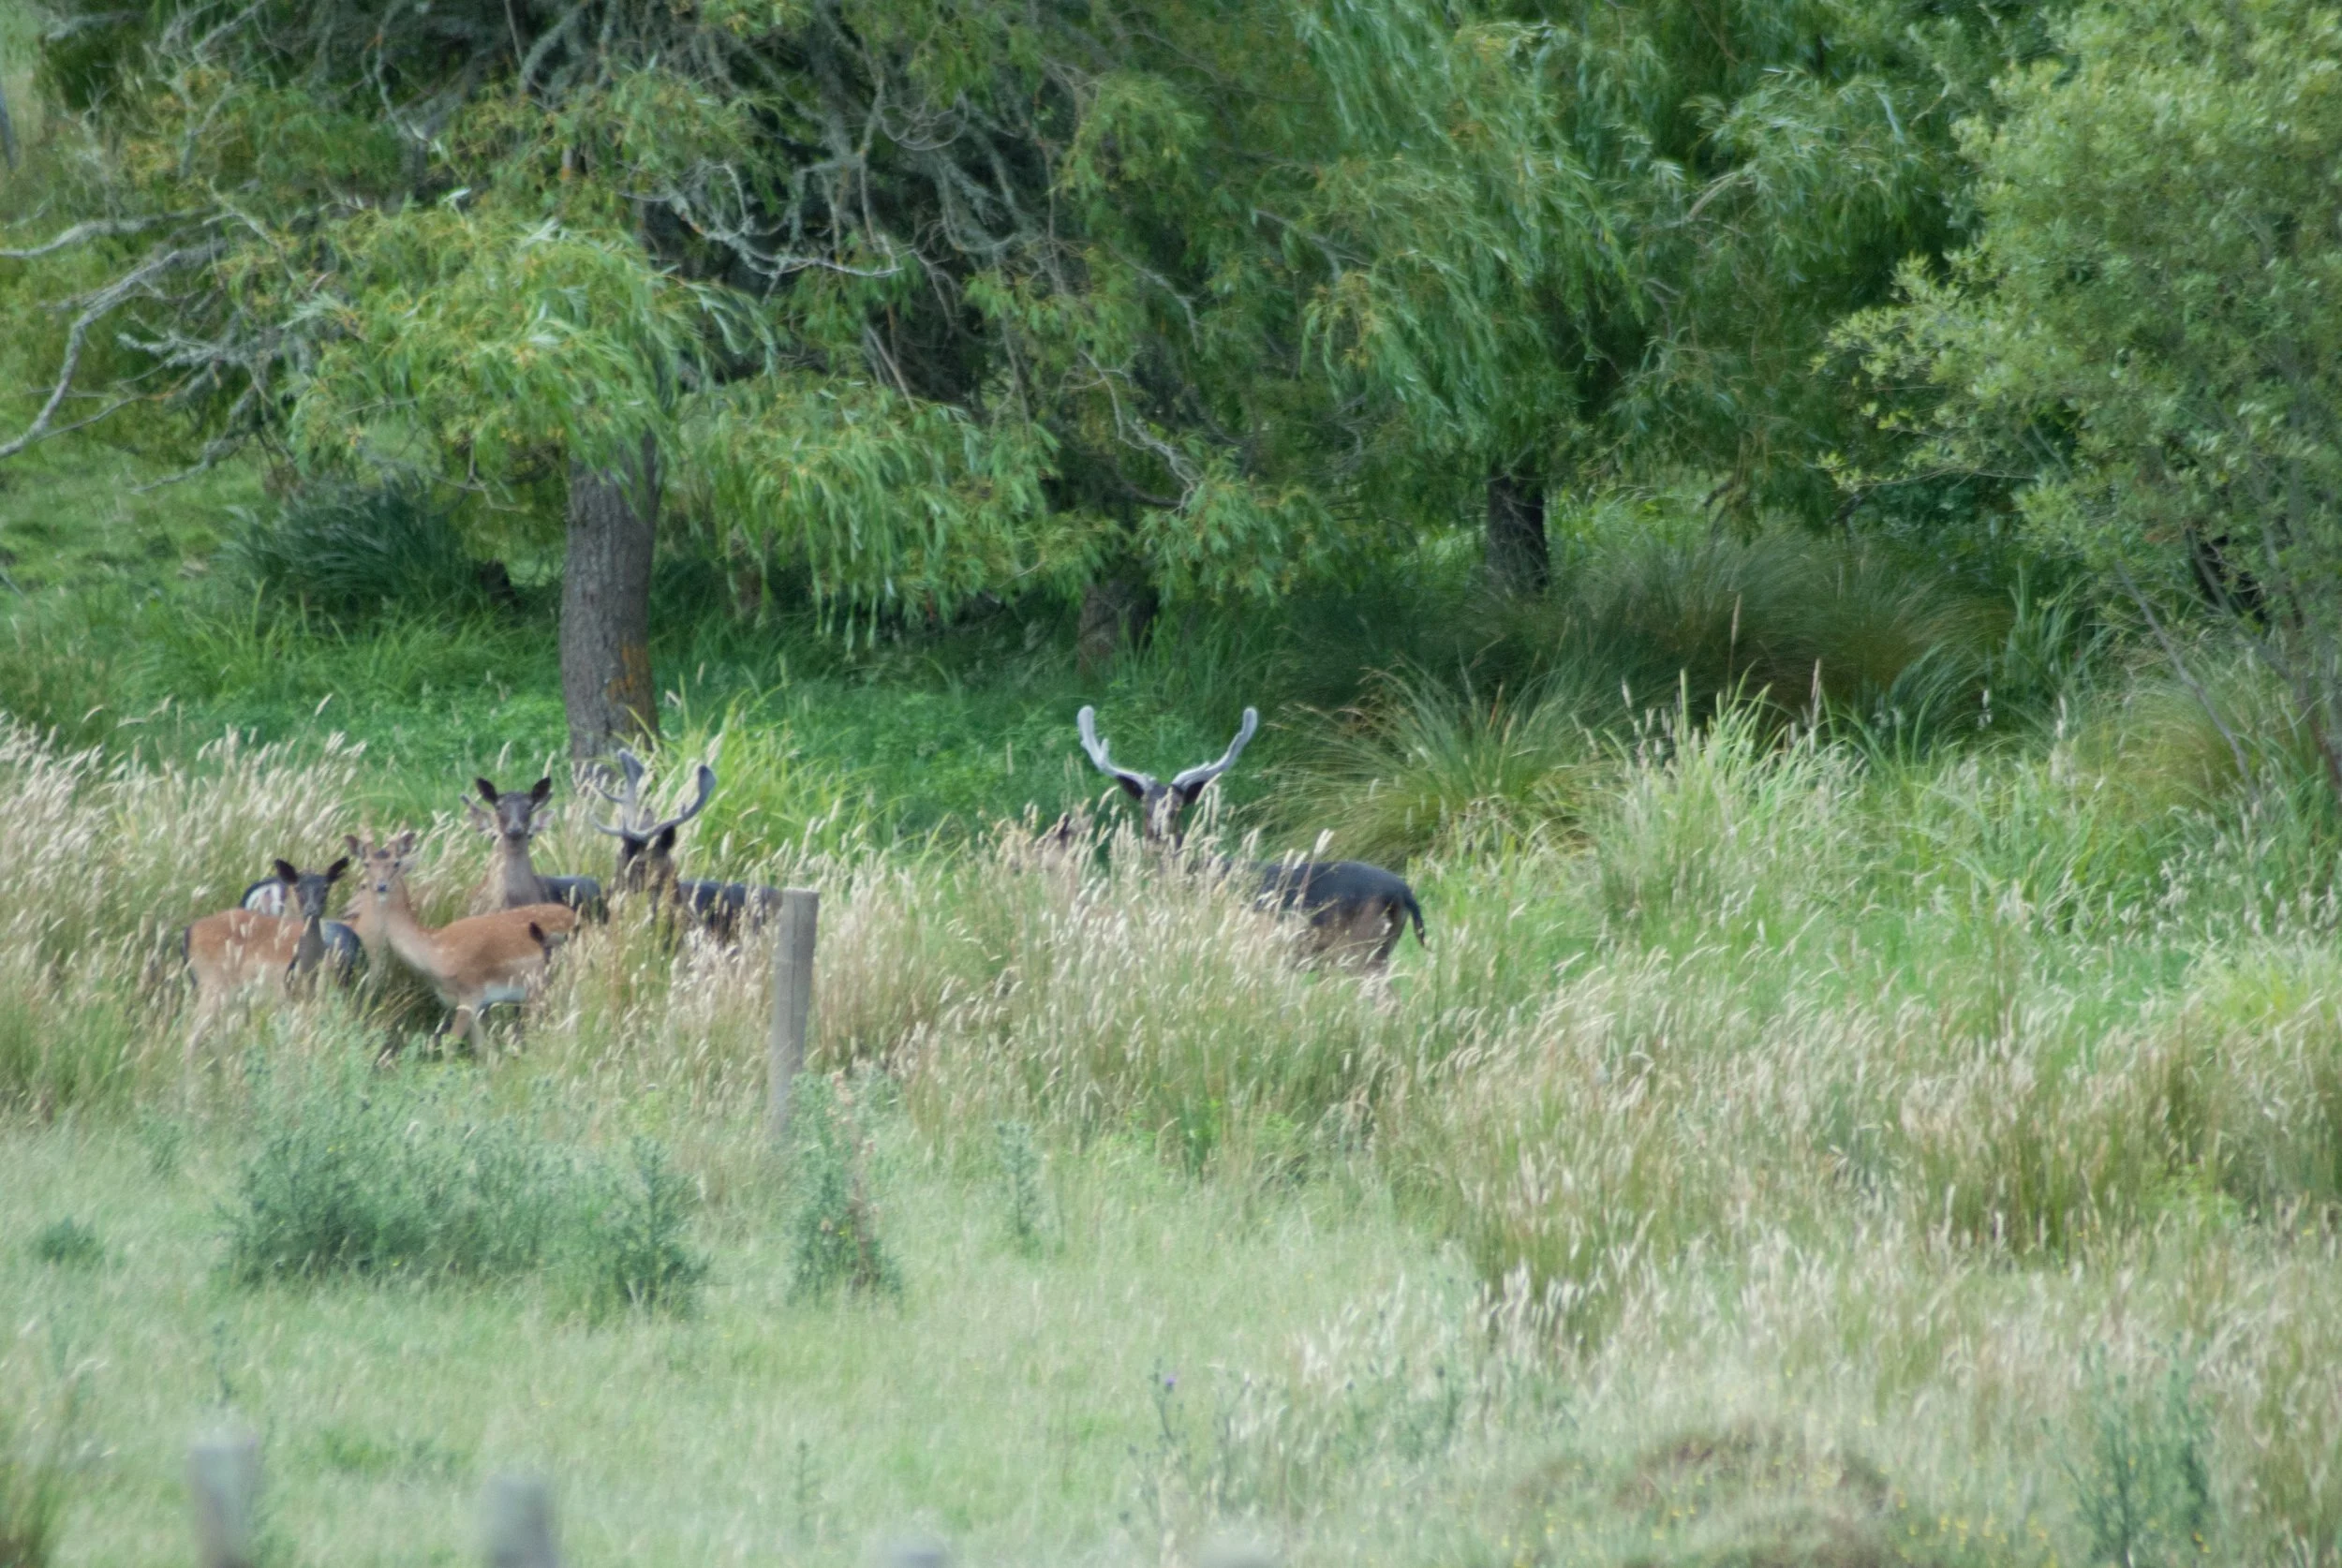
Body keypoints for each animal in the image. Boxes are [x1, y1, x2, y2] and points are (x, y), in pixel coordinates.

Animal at [342, 831, 579, 1059]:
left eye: (396, 863)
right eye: (366, 864)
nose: (381, 886)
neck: (435, 953)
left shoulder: (471, 993)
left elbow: (450, 1046)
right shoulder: (471, 1004)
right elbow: (483, 1050)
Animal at [1076, 705, 1427, 968]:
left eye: (1176, 806)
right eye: (1146, 805)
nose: (1160, 830)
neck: (1189, 877)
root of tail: (1404, 891)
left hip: (1358, 948)